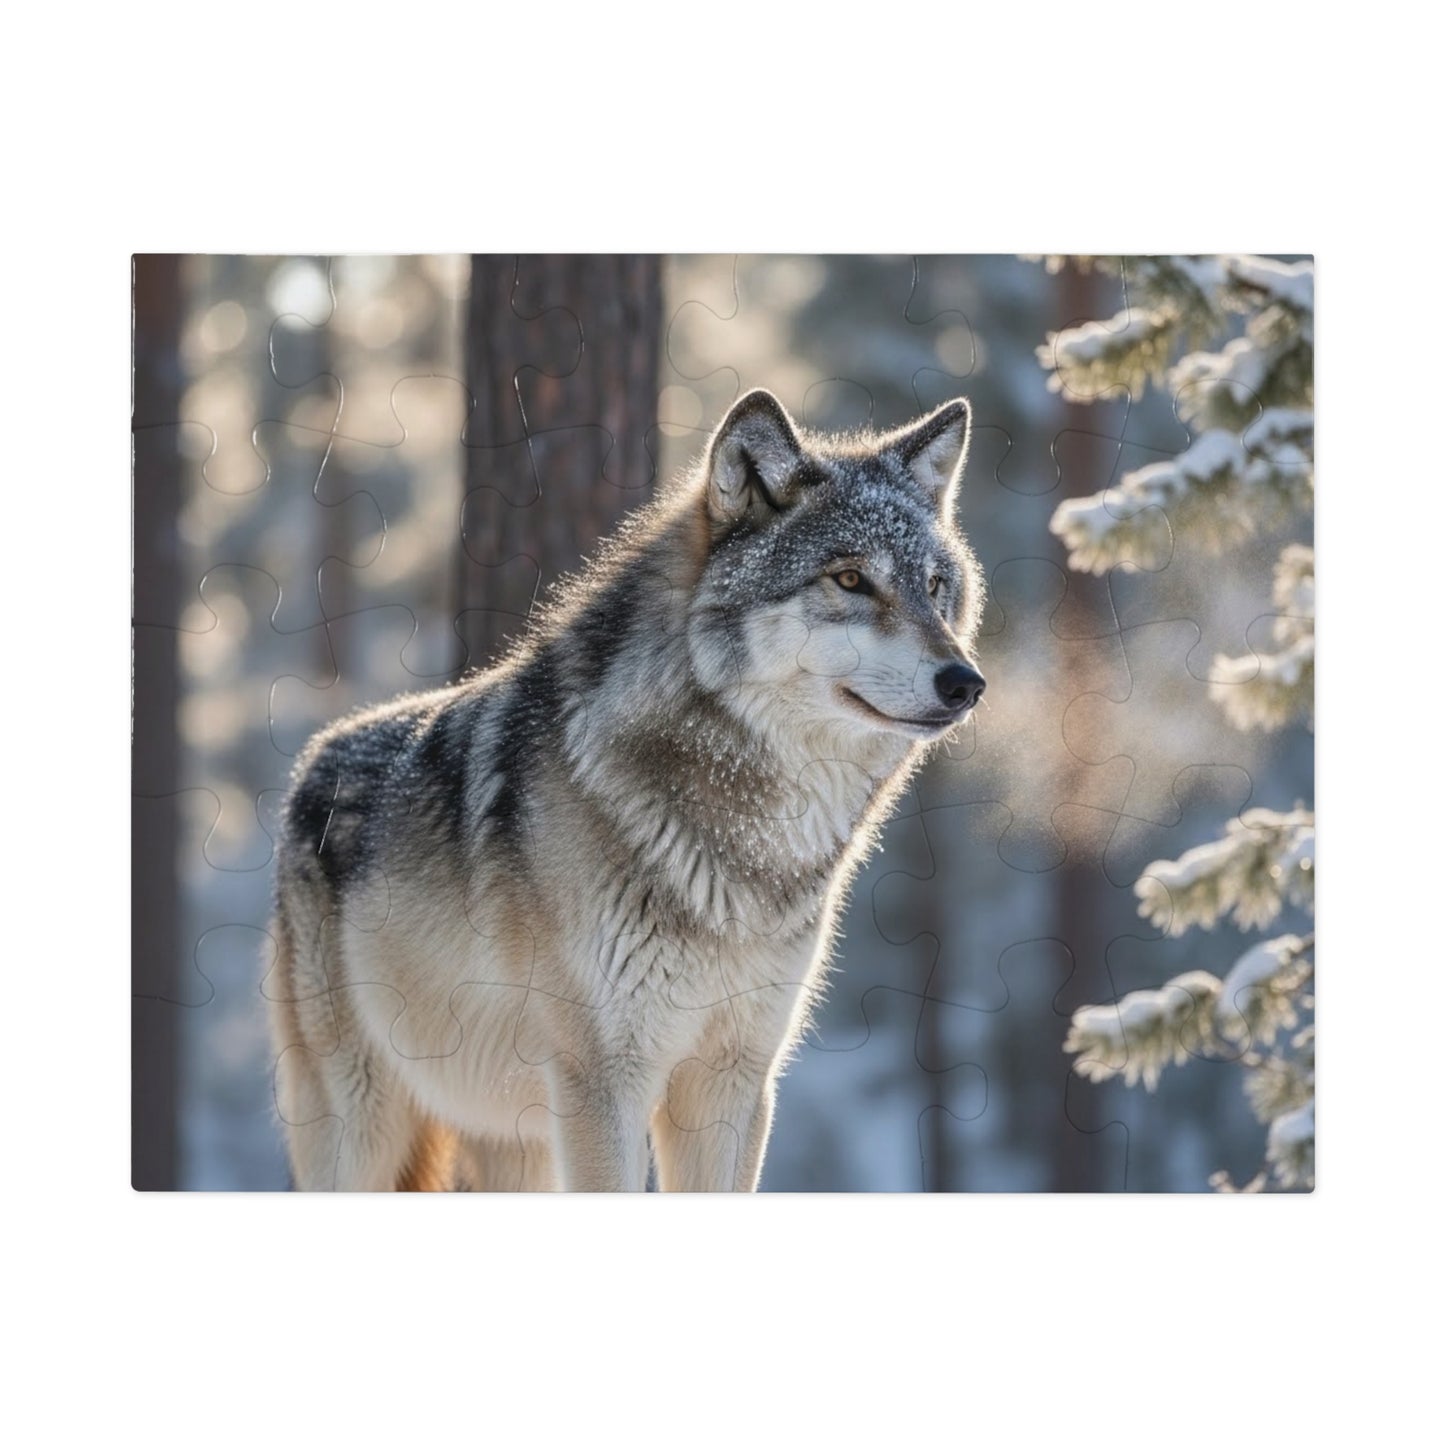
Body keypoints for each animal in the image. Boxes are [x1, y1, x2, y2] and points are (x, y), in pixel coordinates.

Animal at [268, 387, 986, 1191]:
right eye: (851, 579)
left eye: (935, 587)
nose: (965, 683)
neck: (749, 847)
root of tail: (316, 755)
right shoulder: (604, 1080)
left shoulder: (734, 1078)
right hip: (360, 1125)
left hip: (513, 1145)